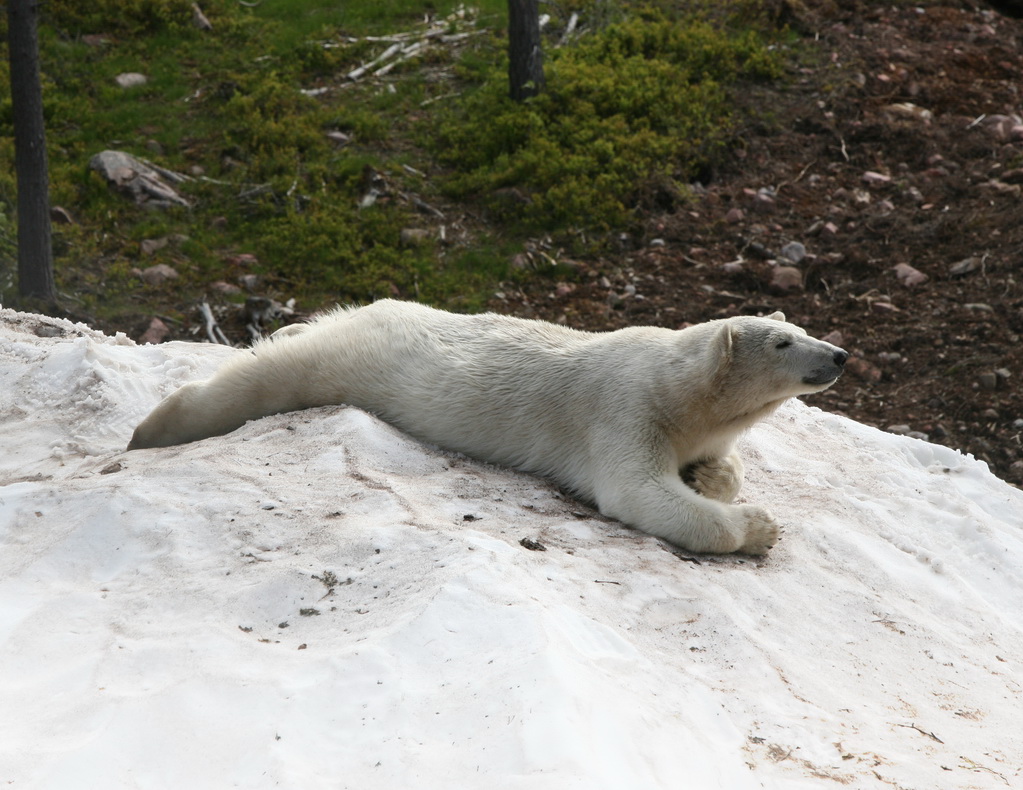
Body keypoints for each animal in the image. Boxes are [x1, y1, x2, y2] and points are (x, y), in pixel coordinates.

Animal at [127, 298, 847, 552]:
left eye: (802, 328)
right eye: (783, 342)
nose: (838, 354)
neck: (680, 388)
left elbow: (718, 464)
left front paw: (711, 474)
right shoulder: (623, 407)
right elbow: (637, 490)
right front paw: (759, 526)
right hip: (355, 360)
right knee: (261, 378)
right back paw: (147, 431)